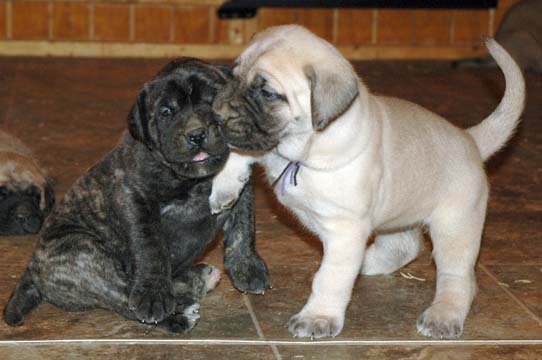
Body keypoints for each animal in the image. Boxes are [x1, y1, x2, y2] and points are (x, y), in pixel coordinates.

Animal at [2, 58, 270, 332]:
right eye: (166, 112)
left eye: (213, 101)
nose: (196, 134)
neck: (193, 181)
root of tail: (32, 269)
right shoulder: (135, 198)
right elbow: (151, 246)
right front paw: (154, 295)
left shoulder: (242, 185)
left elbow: (243, 227)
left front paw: (247, 267)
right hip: (82, 253)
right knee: (122, 295)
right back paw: (176, 312)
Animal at [208, 24, 528, 338]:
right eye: (233, 75)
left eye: (267, 92)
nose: (217, 116)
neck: (303, 148)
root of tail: (469, 139)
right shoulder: (261, 146)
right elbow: (237, 153)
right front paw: (224, 189)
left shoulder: (344, 229)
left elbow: (330, 277)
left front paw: (317, 317)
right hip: (398, 214)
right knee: (404, 247)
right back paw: (367, 262)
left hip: (455, 227)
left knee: (458, 277)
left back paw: (443, 315)